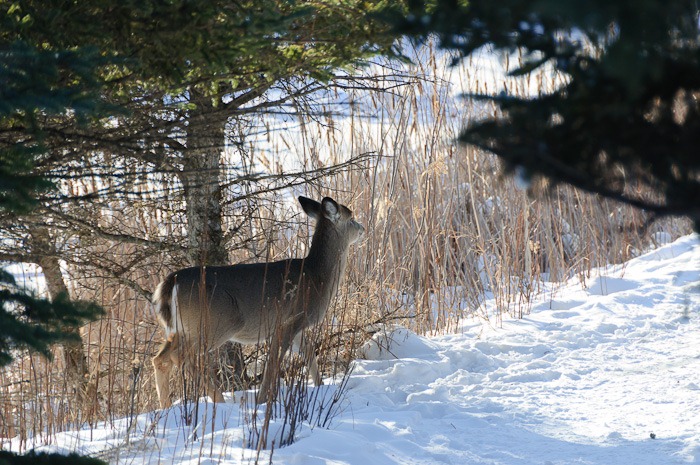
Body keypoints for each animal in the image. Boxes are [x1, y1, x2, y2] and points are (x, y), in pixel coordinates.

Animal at [151, 196, 364, 406]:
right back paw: (219, 401)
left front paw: (320, 387)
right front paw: (262, 400)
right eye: (351, 217)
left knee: (160, 358)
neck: (317, 276)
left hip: (180, 328)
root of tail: (171, 282)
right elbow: (274, 362)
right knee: (180, 356)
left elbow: (309, 354)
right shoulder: (289, 319)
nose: (361, 228)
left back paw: (166, 407)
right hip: (215, 322)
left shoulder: (297, 327)